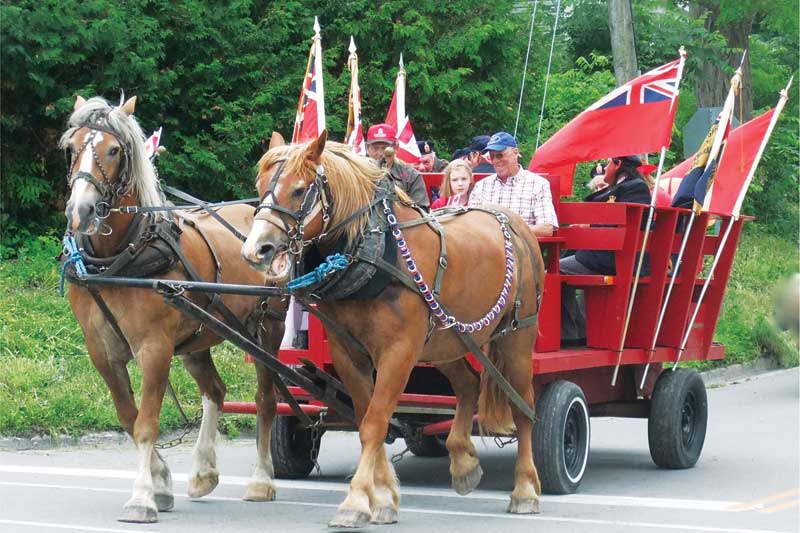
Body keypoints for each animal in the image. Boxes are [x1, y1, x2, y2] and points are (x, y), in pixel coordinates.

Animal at [63, 95, 288, 520]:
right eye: (72, 147)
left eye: (114, 150)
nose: (79, 212)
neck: (121, 259)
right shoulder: (102, 353)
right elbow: (128, 417)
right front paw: (162, 482)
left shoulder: (154, 349)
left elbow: (146, 424)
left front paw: (141, 497)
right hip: (197, 338)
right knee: (215, 391)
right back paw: (202, 473)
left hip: (267, 329)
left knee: (266, 400)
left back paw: (262, 480)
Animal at [241, 131, 548, 524]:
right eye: (260, 186)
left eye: (298, 190)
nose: (256, 250)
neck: (377, 253)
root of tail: (511, 219)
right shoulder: (348, 353)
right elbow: (368, 418)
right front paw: (384, 497)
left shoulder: (399, 352)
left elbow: (375, 420)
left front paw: (356, 501)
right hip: (447, 341)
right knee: (468, 384)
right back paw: (463, 461)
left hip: (517, 337)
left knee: (524, 408)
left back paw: (525, 489)